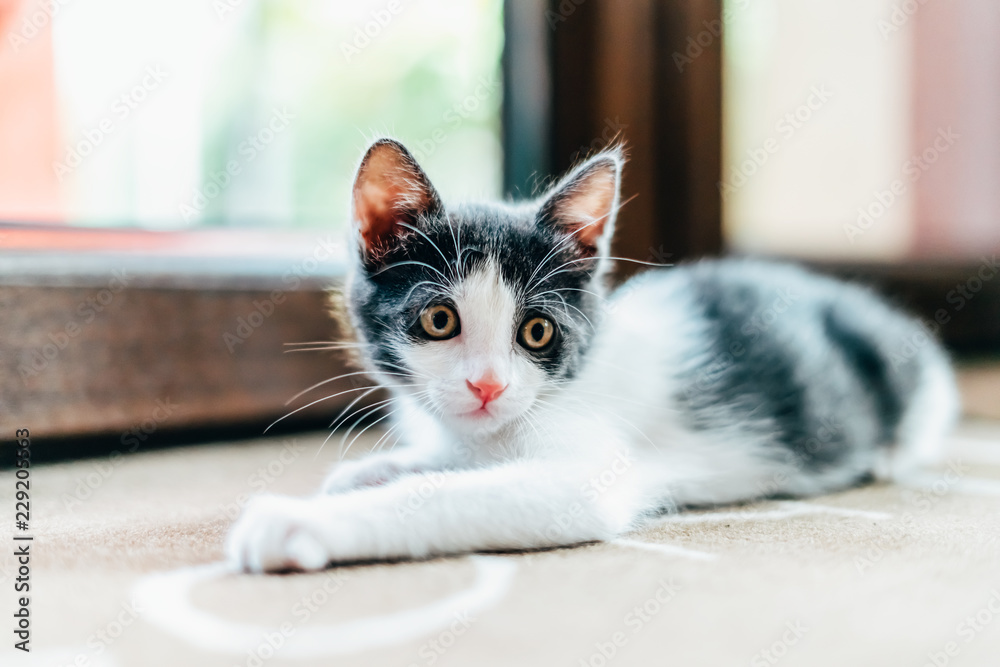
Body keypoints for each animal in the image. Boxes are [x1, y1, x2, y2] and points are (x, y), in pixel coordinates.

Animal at [227, 138, 960, 572]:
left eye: (537, 332)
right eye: (439, 319)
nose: (488, 386)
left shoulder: (587, 476)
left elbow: (450, 495)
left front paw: (297, 520)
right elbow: (445, 460)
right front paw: (374, 469)